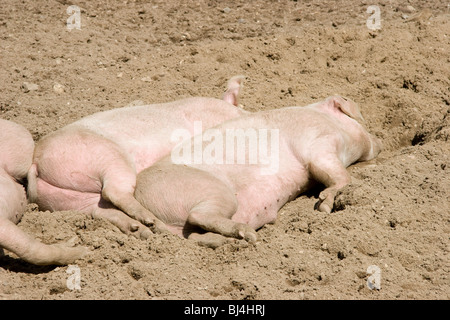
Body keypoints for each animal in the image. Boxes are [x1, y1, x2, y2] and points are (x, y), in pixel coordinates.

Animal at [27, 76, 250, 239]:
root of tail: (35, 162)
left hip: (70, 201)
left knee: (101, 211)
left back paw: (141, 230)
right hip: (107, 155)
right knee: (113, 192)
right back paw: (151, 223)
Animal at [134, 95, 384, 248]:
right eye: (356, 118)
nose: (380, 141)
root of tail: (139, 196)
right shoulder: (317, 142)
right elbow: (336, 174)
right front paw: (324, 206)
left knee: (195, 234)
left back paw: (230, 241)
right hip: (208, 188)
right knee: (198, 215)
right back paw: (248, 235)